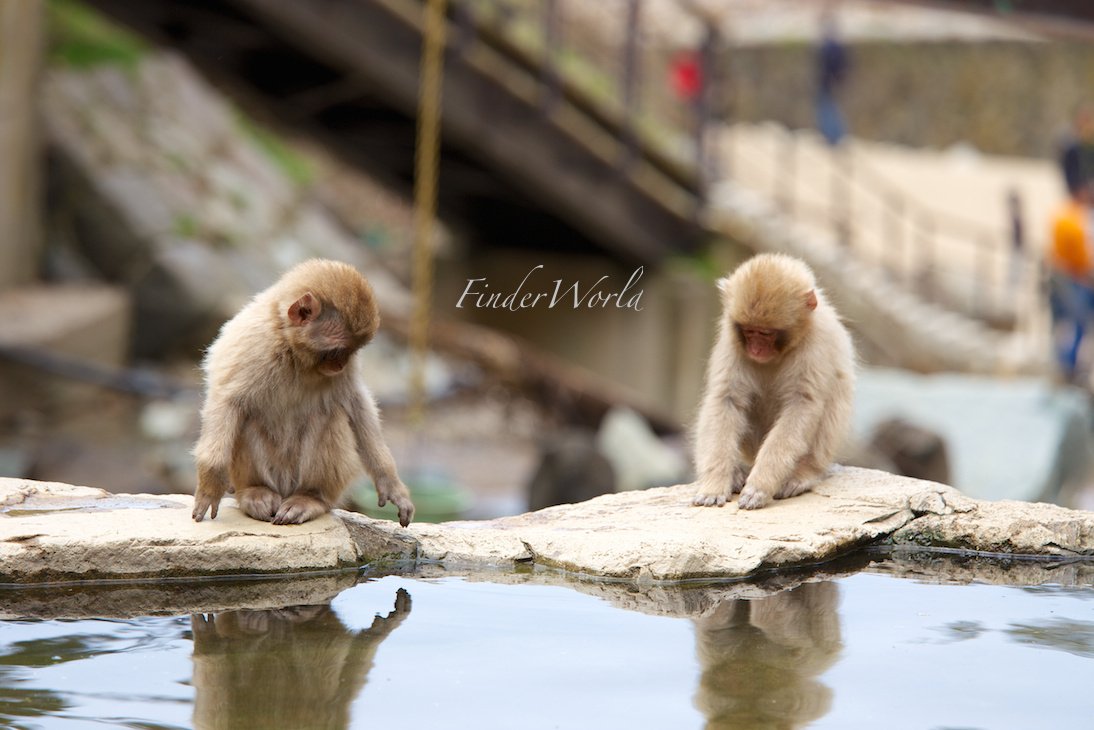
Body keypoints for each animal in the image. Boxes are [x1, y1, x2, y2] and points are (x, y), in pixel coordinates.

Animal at [192, 259, 413, 527]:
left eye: (352, 351)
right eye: (337, 350)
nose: (340, 365)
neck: (292, 350)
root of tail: (285, 488)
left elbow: (356, 404)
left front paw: (390, 484)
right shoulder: (252, 345)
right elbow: (226, 403)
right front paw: (210, 484)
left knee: (331, 417)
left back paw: (310, 498)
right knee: (245, 418)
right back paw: (255, 492)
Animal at [691, 253, 853, 512]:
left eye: (766, 333)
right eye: (749, 331)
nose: (756, 349)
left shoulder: (816, 343)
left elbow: (802, 404)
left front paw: (760, 486)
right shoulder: (731, 340)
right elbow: (726, 399)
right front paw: (714, 484)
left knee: (833, 402)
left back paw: (805, 473)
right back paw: (735, 472)